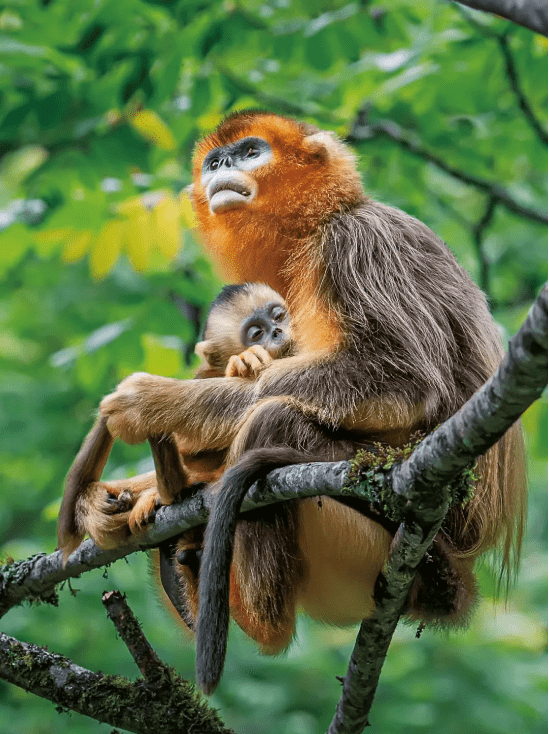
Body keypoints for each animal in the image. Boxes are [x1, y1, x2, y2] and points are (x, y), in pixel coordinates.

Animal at [57, 110, 524, 696]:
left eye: (250, 151)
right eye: (214, 161)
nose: (223, 168)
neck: (318, 228)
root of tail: (462, 572)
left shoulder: (357, 243)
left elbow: (401, 380)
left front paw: (160, 401)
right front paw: (123, 493)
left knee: (272, 423)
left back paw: (258, 620)